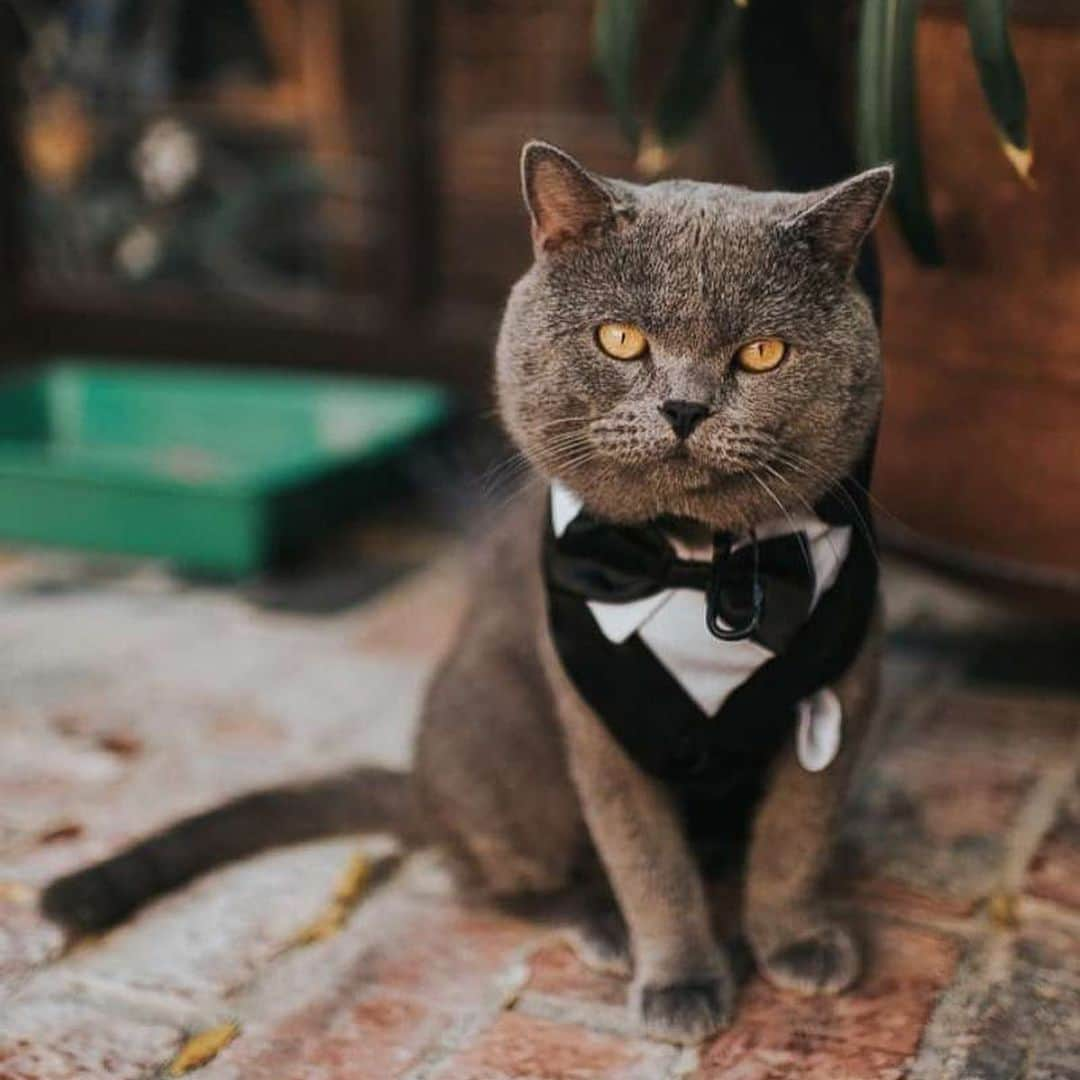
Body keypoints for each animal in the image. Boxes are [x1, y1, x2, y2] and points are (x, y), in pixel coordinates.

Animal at [42, 143, 889, 1045]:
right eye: (621, 339)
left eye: (763, 354)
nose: (685, 406)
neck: (698, 566)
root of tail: (422, 790)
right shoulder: (598, 725)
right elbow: (649, 862)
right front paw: (682, 979)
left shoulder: (845, 688)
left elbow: (796, 836)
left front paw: (796, 940)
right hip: (499, 731)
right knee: (492, 879)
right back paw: (600, 922)